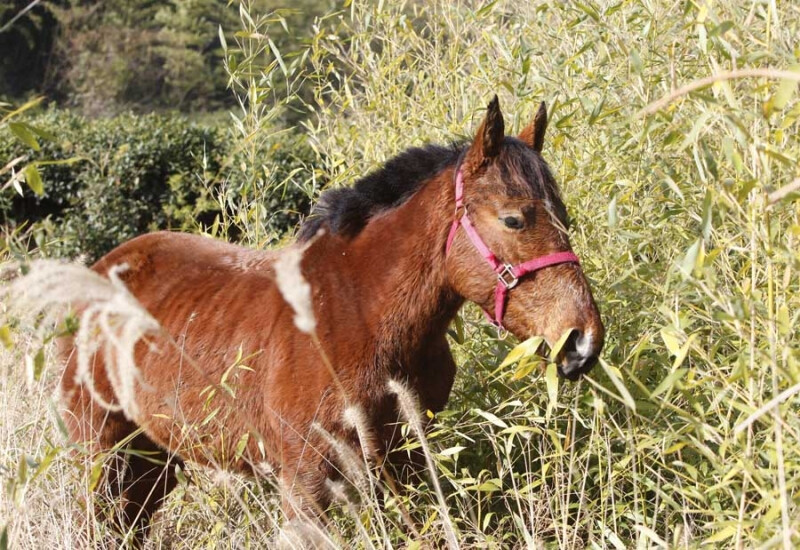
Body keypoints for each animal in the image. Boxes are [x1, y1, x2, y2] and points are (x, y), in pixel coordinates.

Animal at [59, 97, 604, 544]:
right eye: (514, 219)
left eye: (565, 216)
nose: (582, 342)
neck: (360, 314)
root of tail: (102, 268)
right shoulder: (305, 479)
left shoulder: (402, 461)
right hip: (102, 454)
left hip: (150, 459)